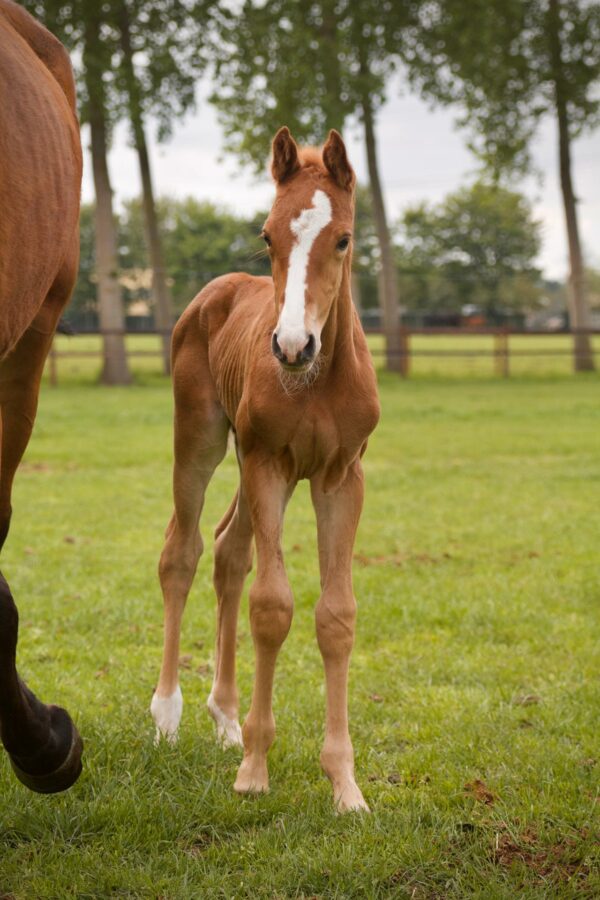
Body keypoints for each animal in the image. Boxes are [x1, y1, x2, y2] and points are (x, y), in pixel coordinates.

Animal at [152, 125, 382, 808]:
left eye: (343, 238)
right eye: (267, 235)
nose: (291, 346)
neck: (316, 381)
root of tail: (217, 289)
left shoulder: (341, 478)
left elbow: (336, 616)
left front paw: (345, 786)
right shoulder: (269, 465)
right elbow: (272, 606)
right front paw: (254, 771)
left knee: (230, 549)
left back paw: (225, 718)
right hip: (203, 441)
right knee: (183, 552)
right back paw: (168, 715)